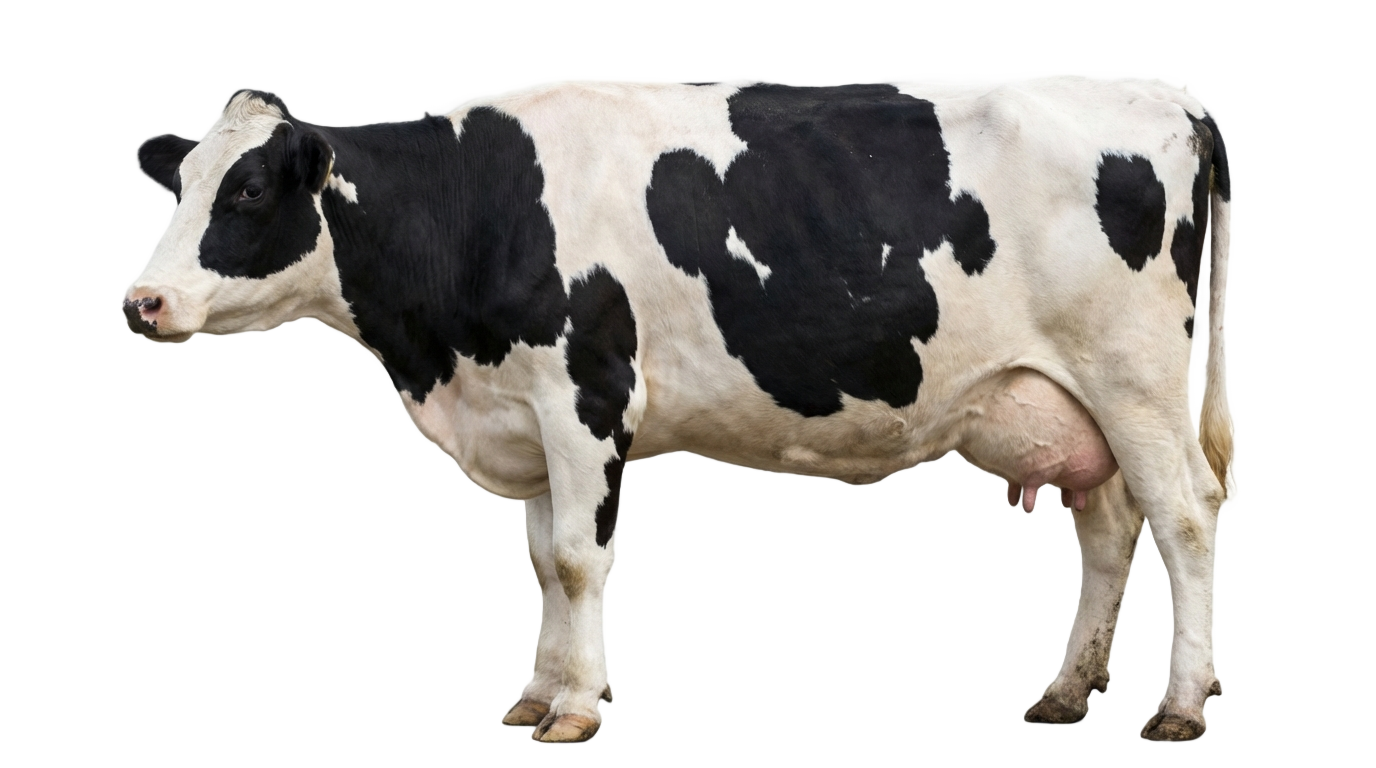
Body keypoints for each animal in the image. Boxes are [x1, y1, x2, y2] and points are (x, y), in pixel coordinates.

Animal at [124, 77, 1232, 742]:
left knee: (1182, 527)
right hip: (1069, 404)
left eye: (250, 189)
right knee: (1109, 531)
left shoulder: (587, 392)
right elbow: (540, 560)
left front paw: (575, 709)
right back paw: (1067, 691)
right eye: (180, 182)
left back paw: (1179, 706)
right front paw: (535, 690)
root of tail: (1166, 100)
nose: (145, 301)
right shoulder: (525, 413)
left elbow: (578, 560)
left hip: (1136, 379)